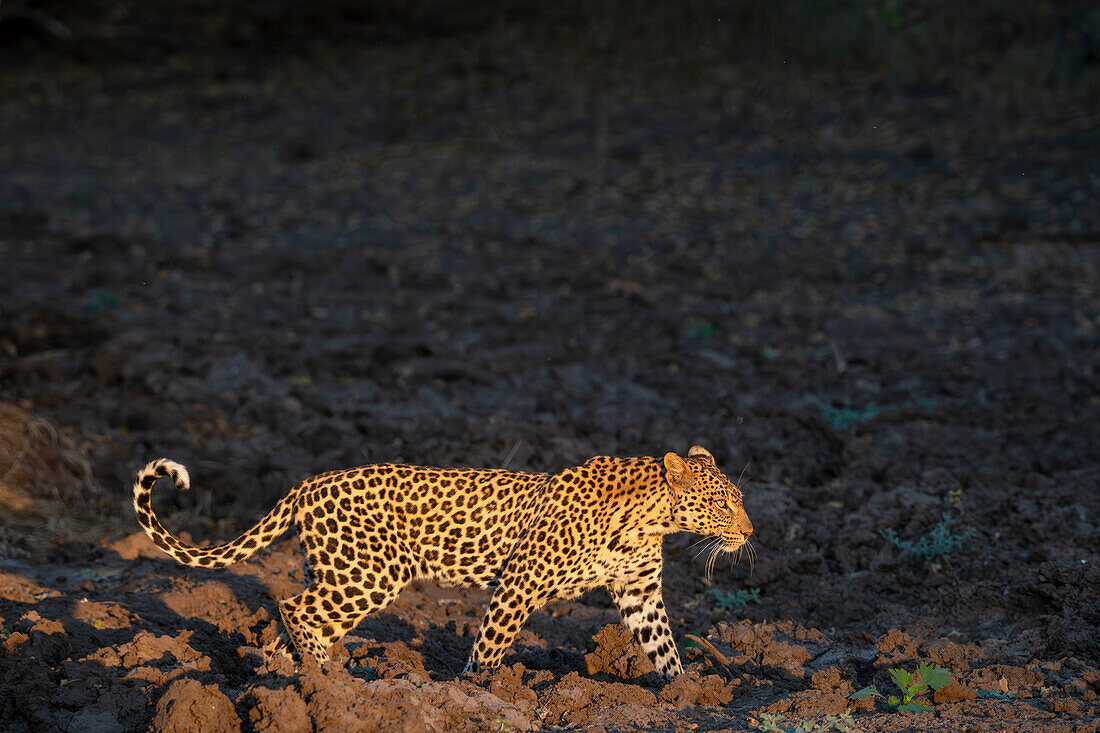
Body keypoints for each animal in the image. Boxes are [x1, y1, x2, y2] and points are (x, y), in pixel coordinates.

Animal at [133, 442, 752, 677]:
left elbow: (663, 645)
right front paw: (483, 691)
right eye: (723, 503)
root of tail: (310, 482)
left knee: (298, 617)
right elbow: (490, 648)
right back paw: (328, 680)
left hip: (336, 571)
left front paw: (683, 691)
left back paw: (295, 680)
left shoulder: (639, 591)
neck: (652, 520)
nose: (750, 531)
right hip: (370, 574)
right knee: (294, 608)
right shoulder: (519, 584)